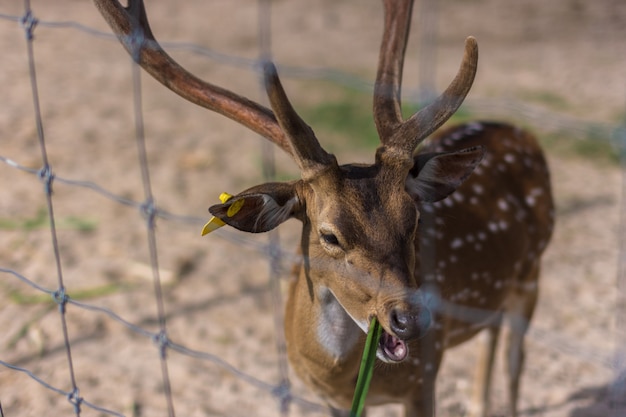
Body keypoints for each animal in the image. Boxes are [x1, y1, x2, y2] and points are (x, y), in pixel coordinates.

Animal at [94, 0, 552, 416]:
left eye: (414, 220)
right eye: (329, 234)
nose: (410, 319)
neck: (339, 377)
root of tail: (521, 133)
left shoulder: (424, 378)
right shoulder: (326, 397)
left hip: (533, 268)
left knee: (515, 360)